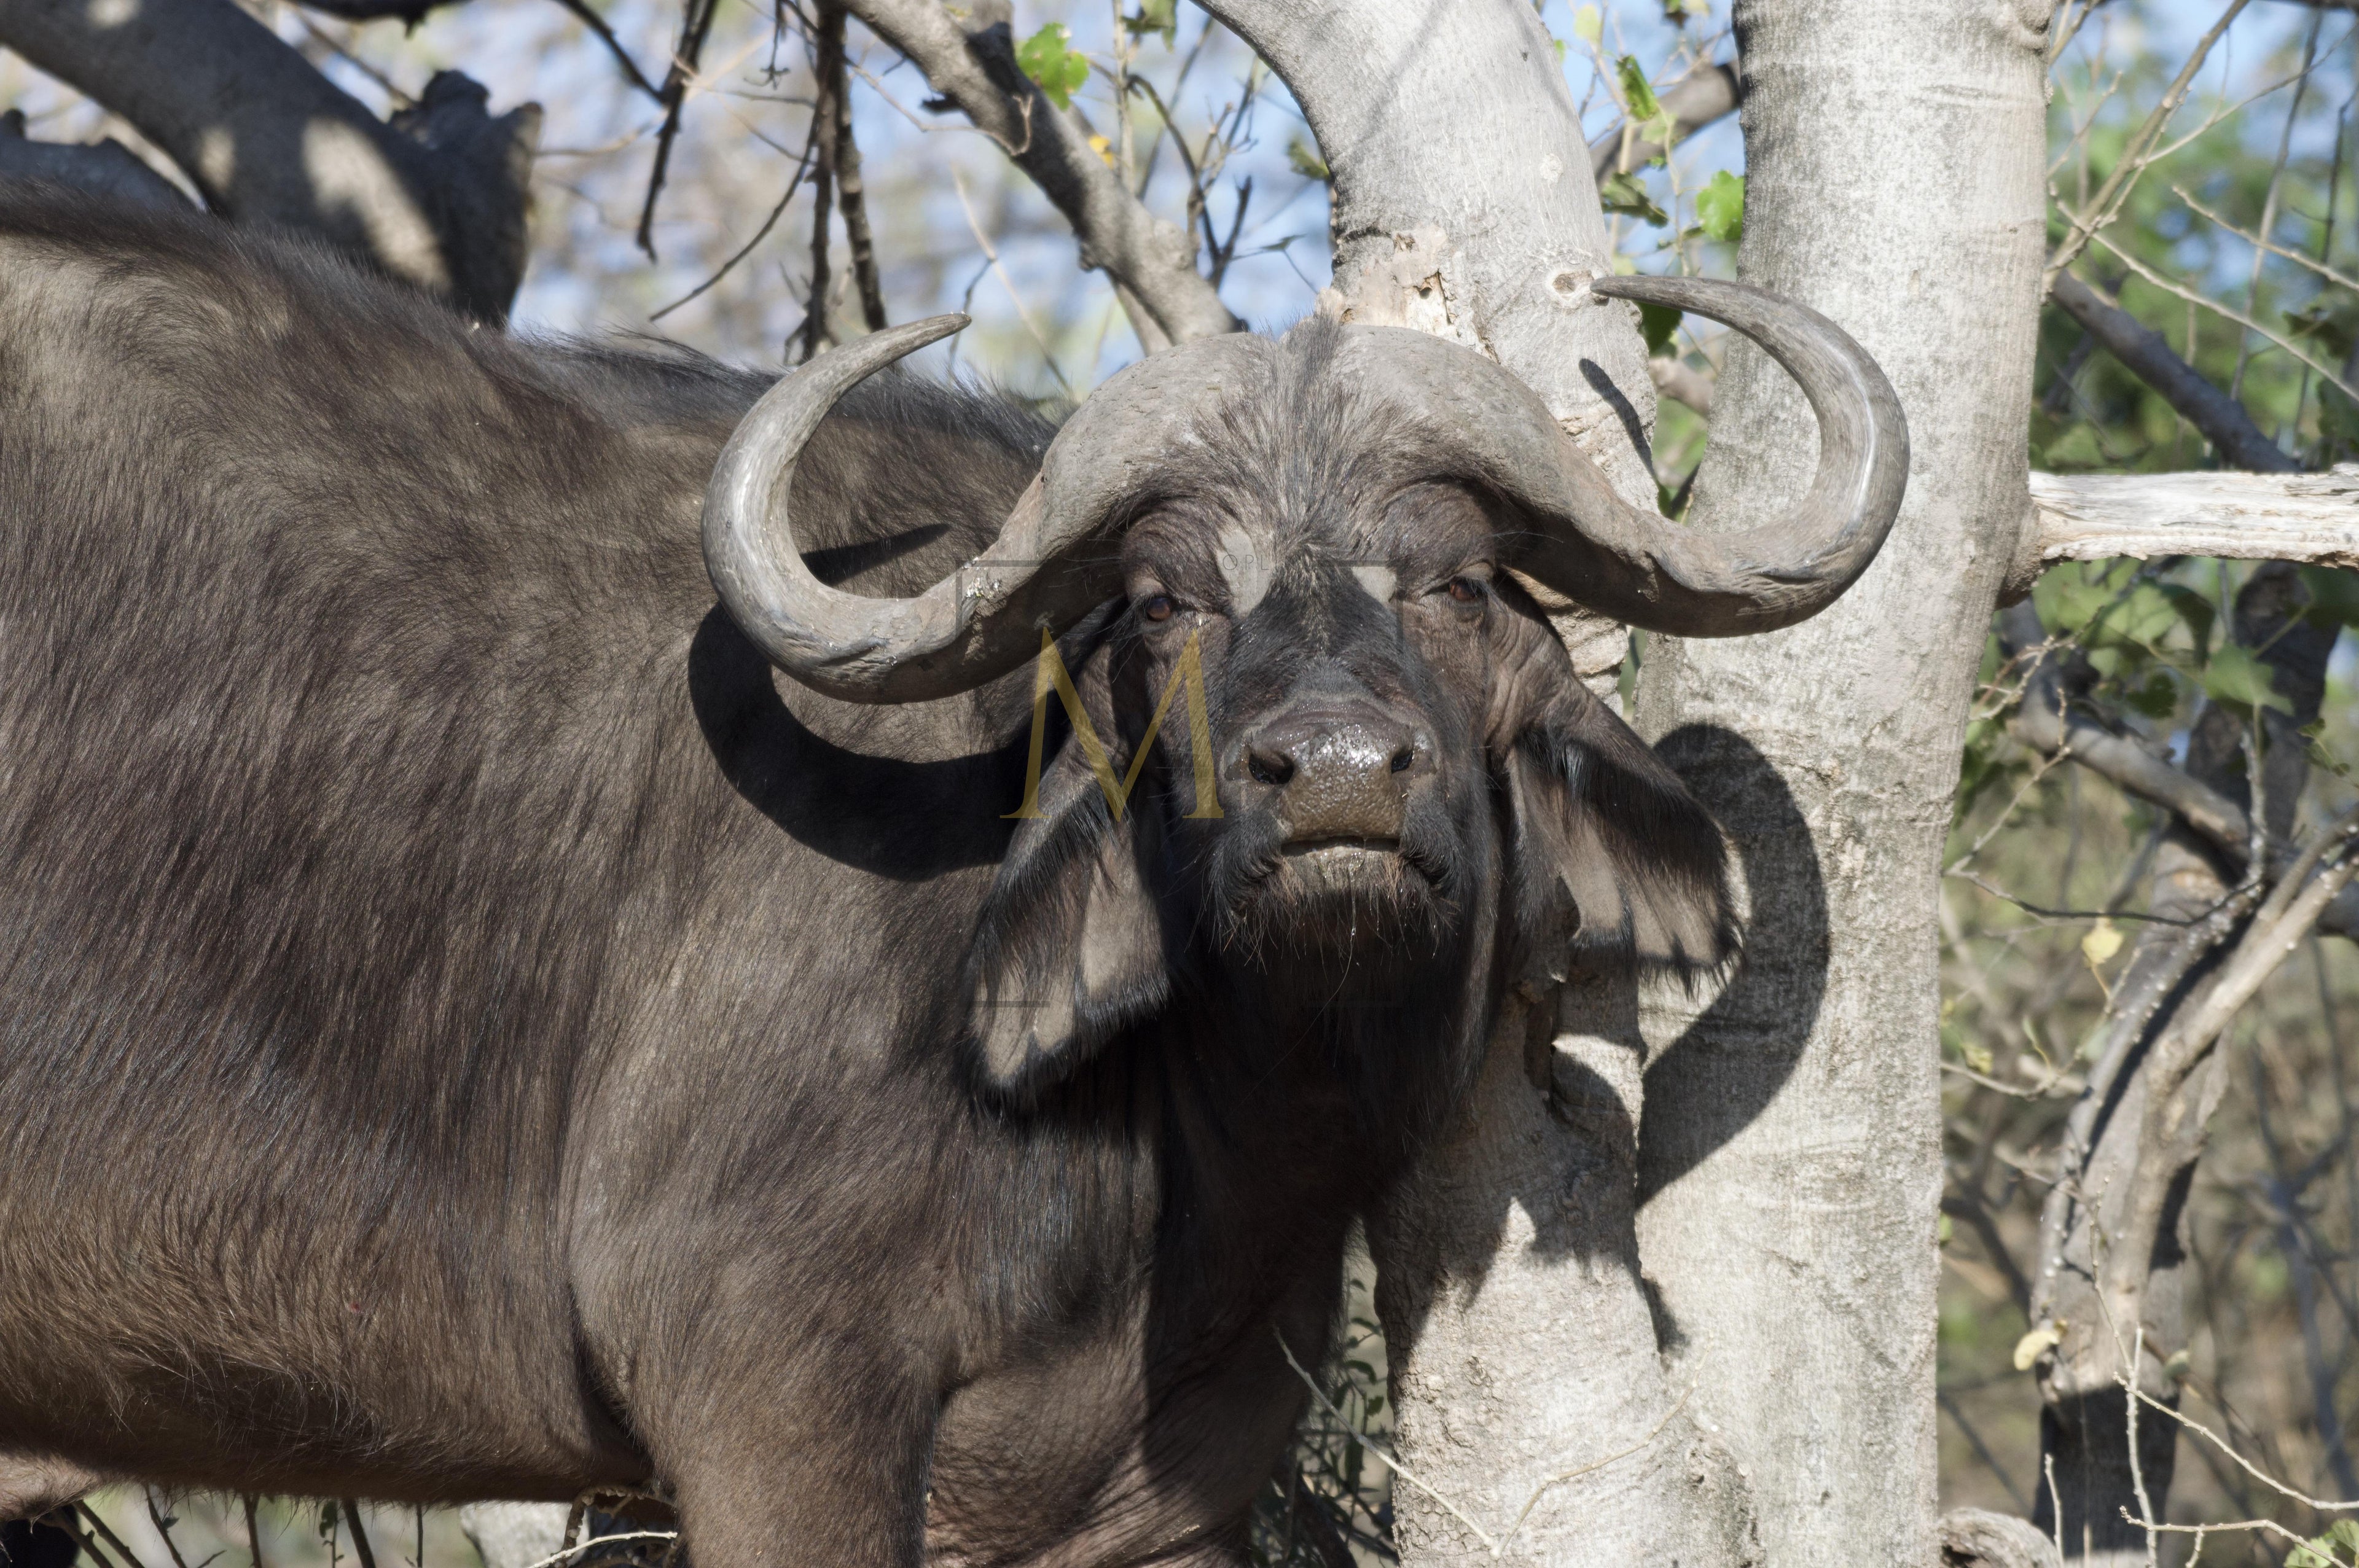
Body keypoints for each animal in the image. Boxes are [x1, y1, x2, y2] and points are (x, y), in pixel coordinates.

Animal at [0, 189, 1903, 1568]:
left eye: (1453, 585)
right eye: (1164, 603)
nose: (1337, 781)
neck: (1162, 1135)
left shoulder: (1162, 1498)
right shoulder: (767, 1410)